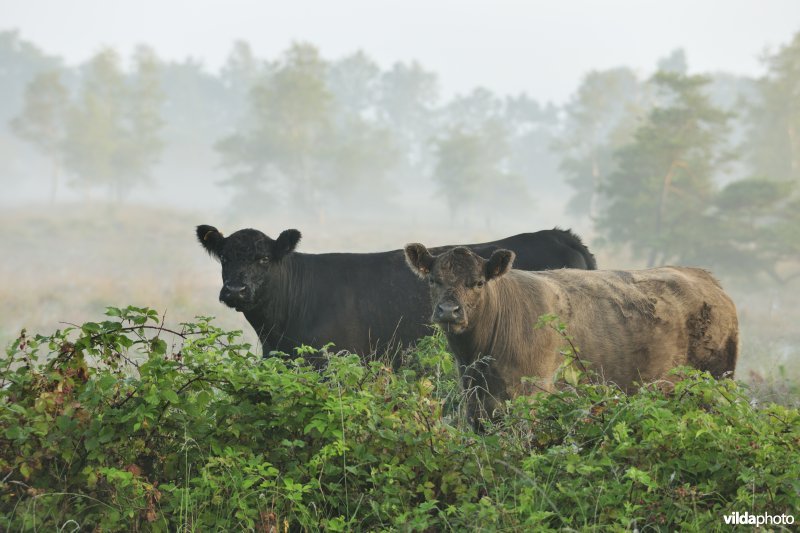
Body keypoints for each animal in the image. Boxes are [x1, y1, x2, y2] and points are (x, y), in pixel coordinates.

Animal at [404, 243, 740, 426]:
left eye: (477, 283)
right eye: (434, 280)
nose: (449, 310)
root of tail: (704, 277)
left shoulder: (530, 399)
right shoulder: (477, 406)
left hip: (715, 385)